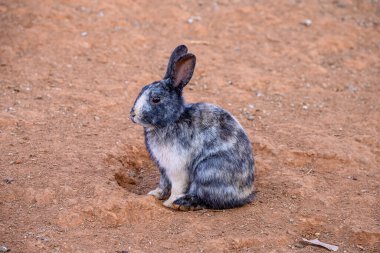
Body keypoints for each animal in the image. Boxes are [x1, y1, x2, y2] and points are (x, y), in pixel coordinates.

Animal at [131, 45, 255, 210]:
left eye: (156, 99)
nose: (132, 114)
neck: (173, 119)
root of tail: (245, 193)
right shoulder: (163, 169)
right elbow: (163, 184)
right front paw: (154, 194)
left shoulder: (177, 168)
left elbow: (177, 187)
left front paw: (168, 203)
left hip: (207, 170)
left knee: (206, 198)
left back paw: (180, 204)